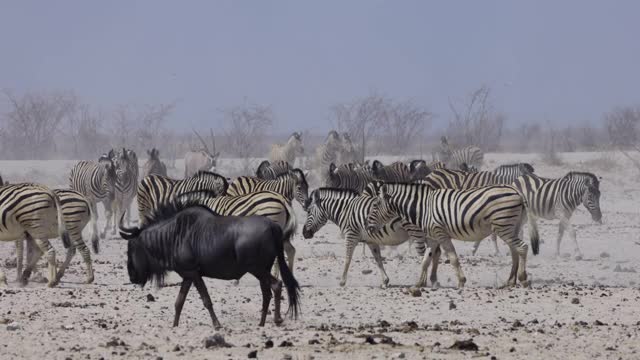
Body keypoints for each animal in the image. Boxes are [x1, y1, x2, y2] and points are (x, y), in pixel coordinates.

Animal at [302, 187, 448, 288]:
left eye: (308, 211)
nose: (304, 233)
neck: (345, 210)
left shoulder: (351, 235)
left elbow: (348, 259)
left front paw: (342, 281)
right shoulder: (371, 241)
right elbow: (378, 260)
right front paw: (385, 281)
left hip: (417, 232)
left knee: (426, 255)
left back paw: (424, 281)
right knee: (436, 253)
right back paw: (434, 280)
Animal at [368, 183, 536, 286]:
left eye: (375, 205)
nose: (369, 228)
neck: (423, 207)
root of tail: (517, 191)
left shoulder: (441, 234)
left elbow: (453, 258)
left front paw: (461, 281)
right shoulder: (433, 238)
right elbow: (425, 260)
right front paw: (419, 284)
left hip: (503, 226)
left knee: (522, 247)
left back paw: (523, 279)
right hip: (512, 226)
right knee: (515, 251)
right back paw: (510, 281)